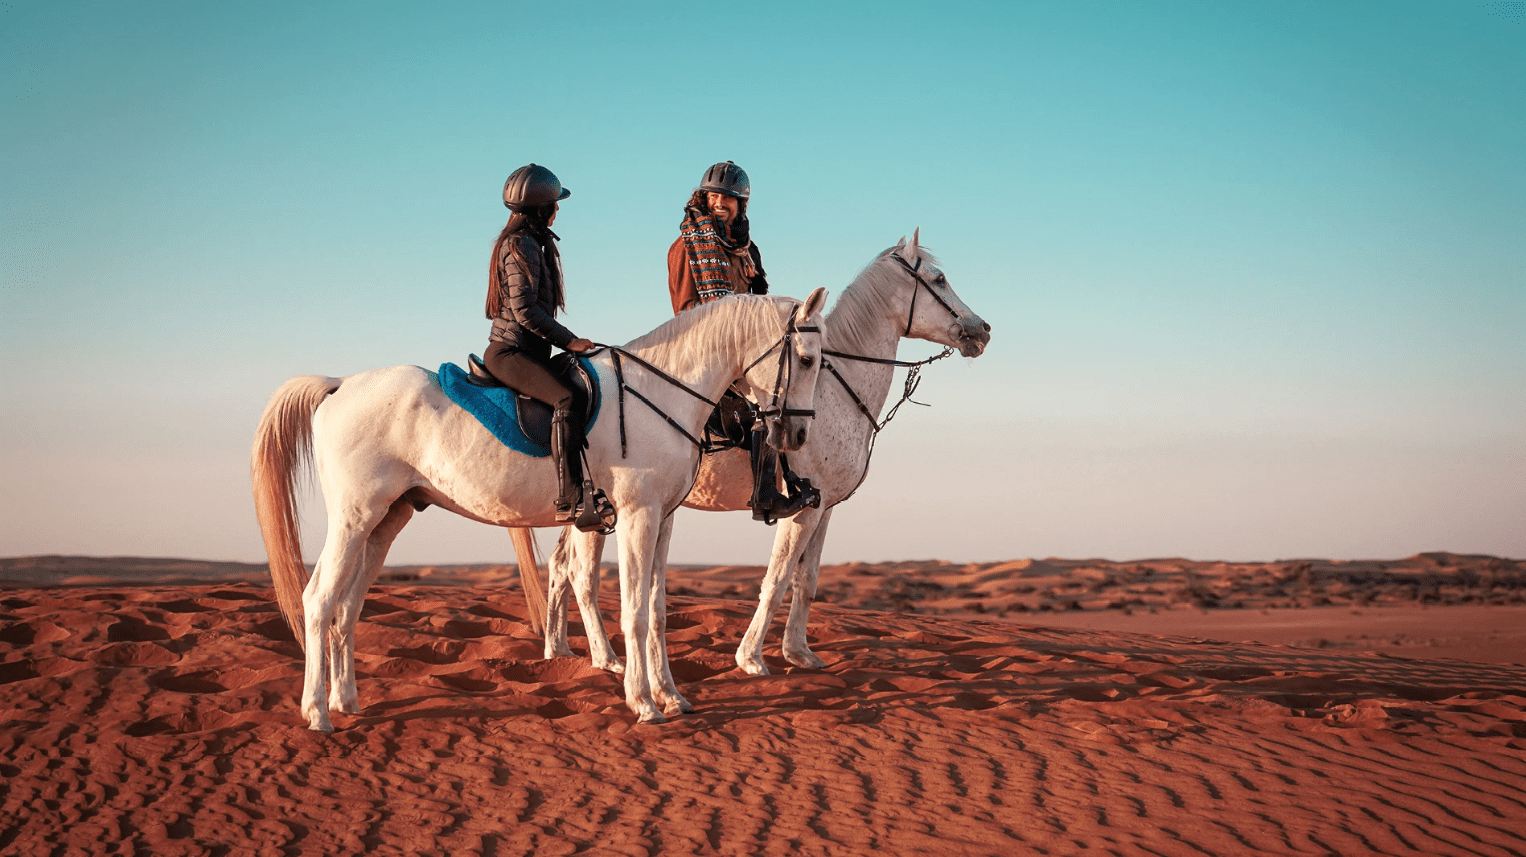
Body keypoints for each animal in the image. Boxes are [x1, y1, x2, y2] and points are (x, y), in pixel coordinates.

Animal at [252, 289, 828, 730]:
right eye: (806, 359)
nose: (799, 435)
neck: (659, 390)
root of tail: (339, 385)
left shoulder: (661, 520)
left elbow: (658, 610)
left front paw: (672, 696)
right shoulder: (637, 516)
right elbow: (635, 610)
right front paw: (643, 702)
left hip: (385, 522)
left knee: (347, 607)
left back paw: (346, 701)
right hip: (354, 518)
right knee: (318, 600)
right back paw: (316, 713)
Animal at [534, 230, 990, 690]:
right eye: (939, 278)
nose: (982, 329)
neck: (832, 390)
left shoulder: (825, 508)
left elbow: (807, 579)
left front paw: (800, 652)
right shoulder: (803, 508)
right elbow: (778, 577)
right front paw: (752, 657)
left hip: (585, 509)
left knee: (559, 566)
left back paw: (559, 652)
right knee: (581, 574)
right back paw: (606, 659)